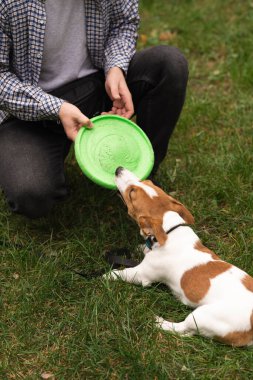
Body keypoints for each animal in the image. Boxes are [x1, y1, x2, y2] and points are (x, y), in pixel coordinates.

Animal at [105, 168, 253, 346]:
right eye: (147, 182)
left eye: (132, 192)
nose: (118, 169)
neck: (169, 229)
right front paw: (141, 248)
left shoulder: (142, 274)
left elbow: (122, 273)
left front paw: (106, 276)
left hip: (201, 316)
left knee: (182, 329)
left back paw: (160, 322)